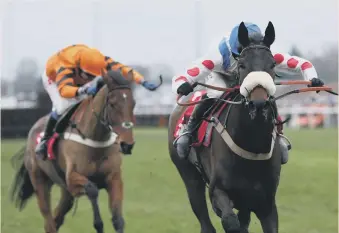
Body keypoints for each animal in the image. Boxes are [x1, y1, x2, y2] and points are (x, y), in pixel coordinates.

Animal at [10, 70, 135, 233]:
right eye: (112, 104)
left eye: (133, 104)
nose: (127, 144)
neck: (95, 139)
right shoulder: (72, 179)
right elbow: (92, 189)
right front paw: (98, 224)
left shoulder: (114, 178)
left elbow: (118, 220)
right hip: (39, 180)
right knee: (49, 220)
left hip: (65, 192)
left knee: (56, 218)